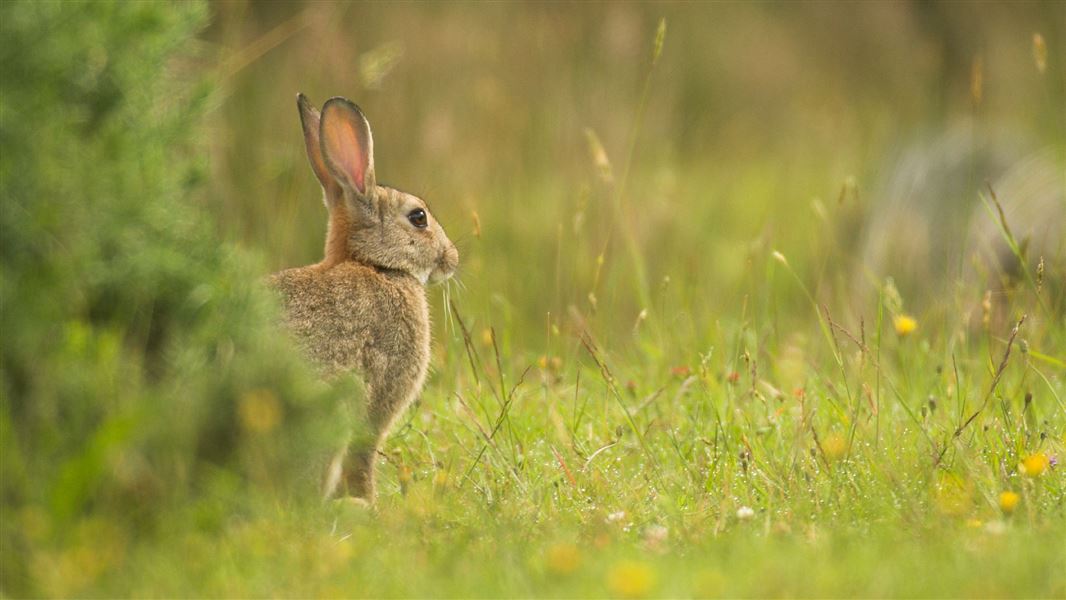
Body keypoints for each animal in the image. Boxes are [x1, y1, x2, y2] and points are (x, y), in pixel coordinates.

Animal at [270, 94, 458, 503]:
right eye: (419, 217)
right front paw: (368, 502)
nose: (452, 259)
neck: (376, 265)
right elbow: (364, 455)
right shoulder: (380, 397)